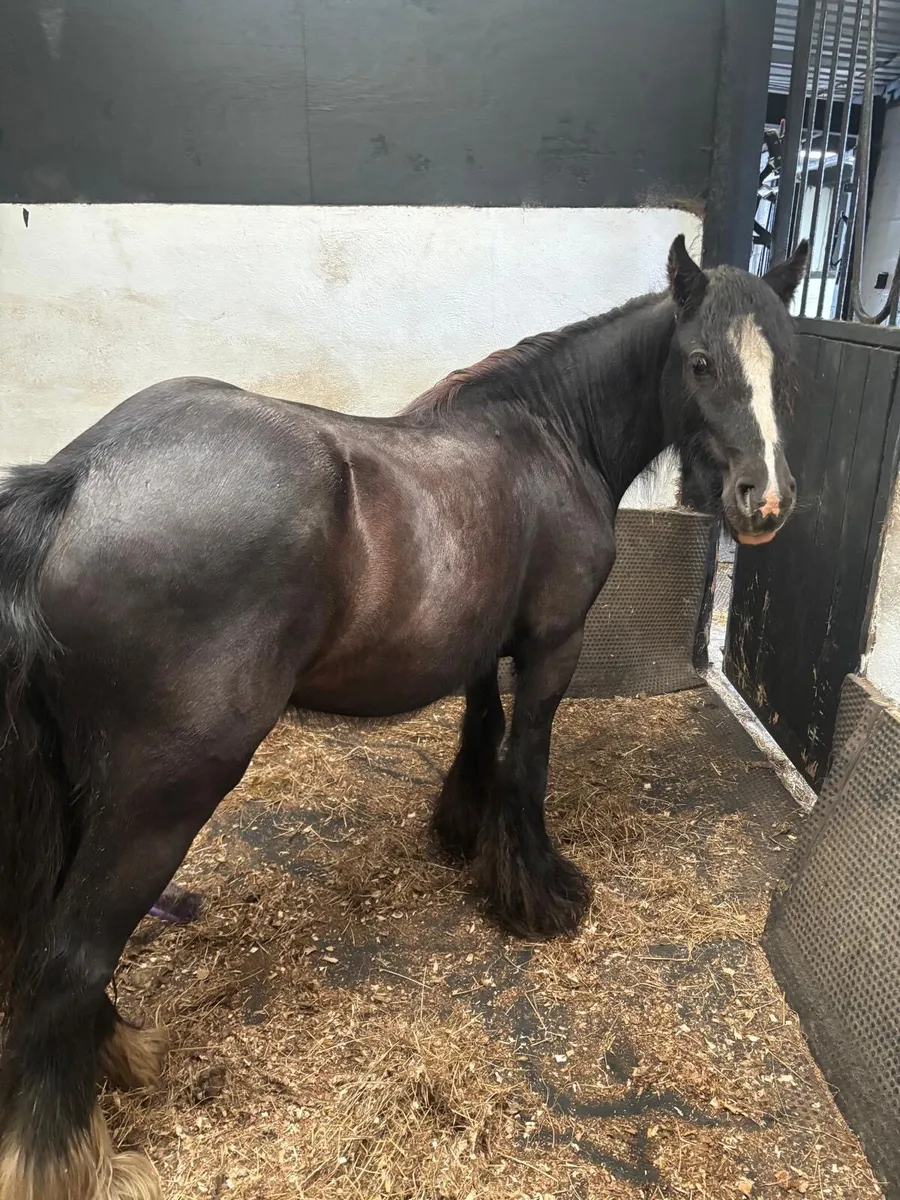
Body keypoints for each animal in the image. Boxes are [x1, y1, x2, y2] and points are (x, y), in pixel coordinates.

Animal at [0, 234, 807, 1199]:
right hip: (163, 793)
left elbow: (481, 734)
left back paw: (124, 1055)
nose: (766, 502)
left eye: (787, 364)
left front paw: (465, 837)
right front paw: (542, 896)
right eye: (700, 362)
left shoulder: (485, 646)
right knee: (70, 957)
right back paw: (73, 1157)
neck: (546, 436)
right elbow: (526, 764)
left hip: (78, 785)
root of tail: (75, 482)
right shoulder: (554, 646)